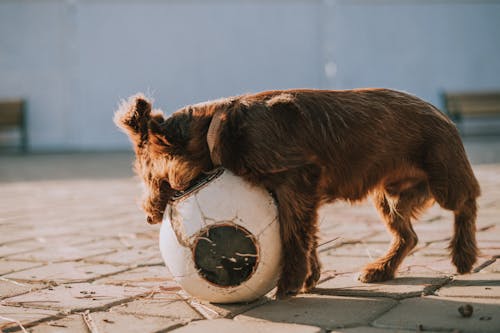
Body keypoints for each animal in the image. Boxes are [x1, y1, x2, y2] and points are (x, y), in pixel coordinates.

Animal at [114, 89, 480, 298]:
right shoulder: (298, 195)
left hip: (443, 180)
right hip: (388, 197)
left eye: (152, 178)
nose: (148, 217)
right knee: (408, 236)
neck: (217, 126)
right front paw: (310, 274)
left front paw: (290, 281)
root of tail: (442, 112)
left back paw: (464, 254)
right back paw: (382, 269)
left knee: (468, 202)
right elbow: (307, 235)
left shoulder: (296, 182)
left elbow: (293, 235)